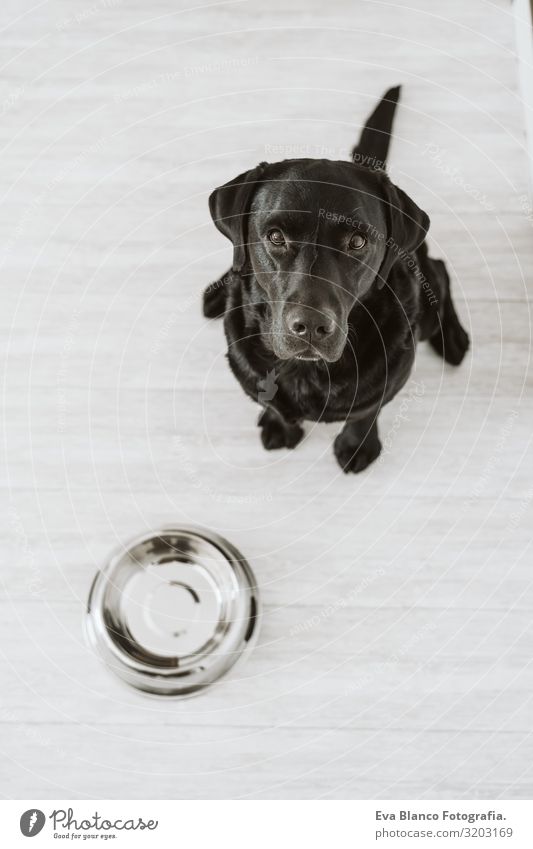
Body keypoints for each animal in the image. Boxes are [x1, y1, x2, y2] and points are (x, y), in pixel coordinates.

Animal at [202, 88, 468, 474]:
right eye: (276, 236)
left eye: (357, 242)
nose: (311, 326)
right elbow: (271, 404)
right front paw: (279, 425)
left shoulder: (388, 380)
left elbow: (365, 413)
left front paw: (357, 446)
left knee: (441, 270)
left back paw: (455, 337)